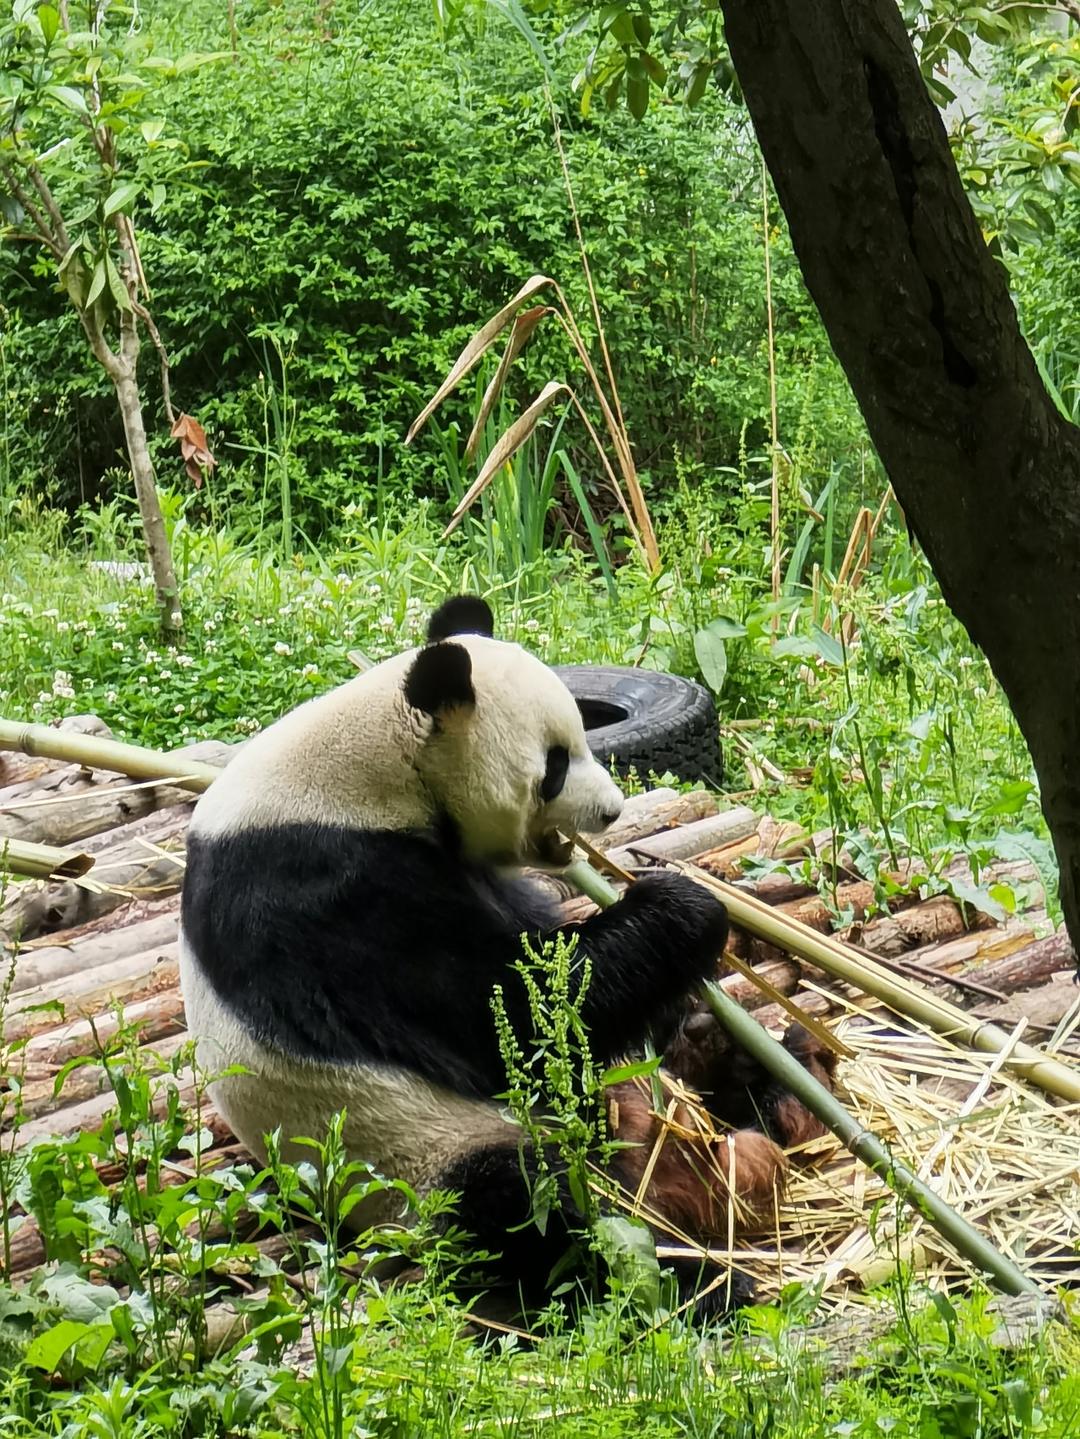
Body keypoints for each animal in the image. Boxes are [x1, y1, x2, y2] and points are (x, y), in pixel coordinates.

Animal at [179, 592, 834, 1318]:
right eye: (555, 764)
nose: (612, 810)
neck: (369, 772)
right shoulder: (323, 892)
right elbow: (502, 1012)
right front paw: (686, 907)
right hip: (423, 1152)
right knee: (527, 1207)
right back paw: (701, 1279)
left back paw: (774, 1071)